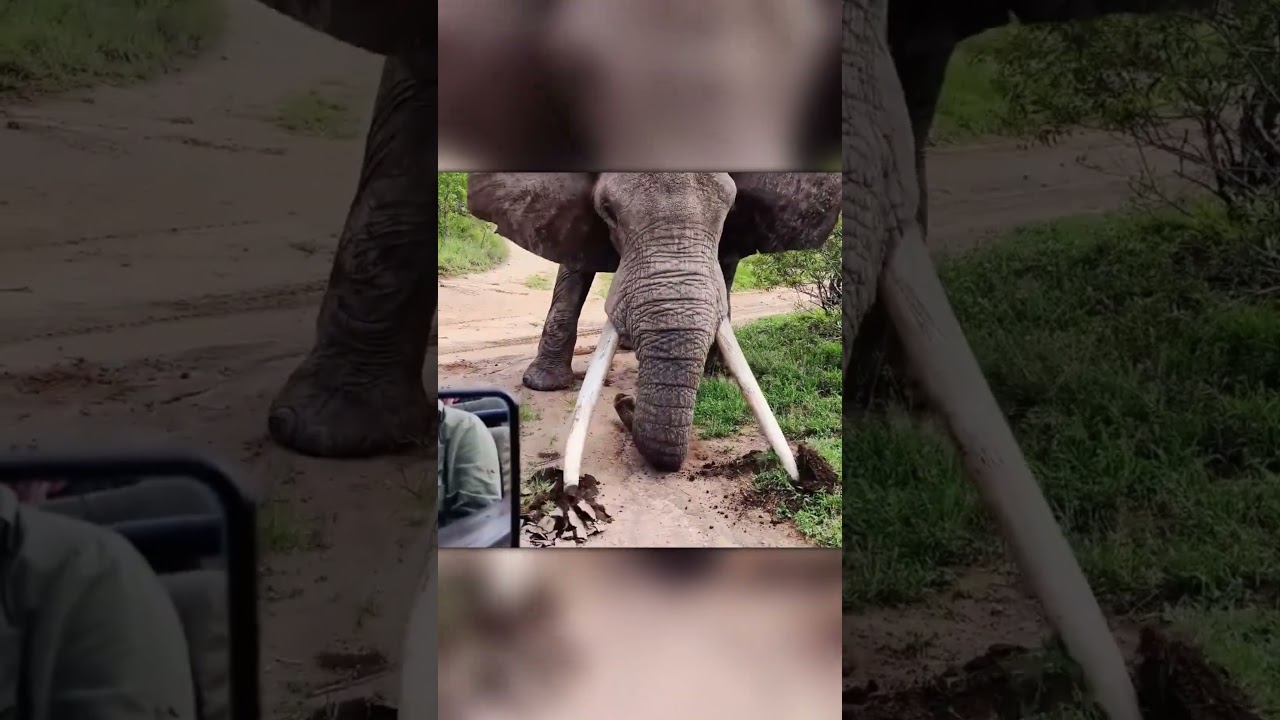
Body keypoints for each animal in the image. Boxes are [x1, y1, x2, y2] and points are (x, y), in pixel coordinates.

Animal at [466, 173, 840, 486]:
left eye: (729, 207)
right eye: (607, 210)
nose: (624, 400)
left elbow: (727, 264)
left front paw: (713, 374)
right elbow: (574, 264)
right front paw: (543, 386)